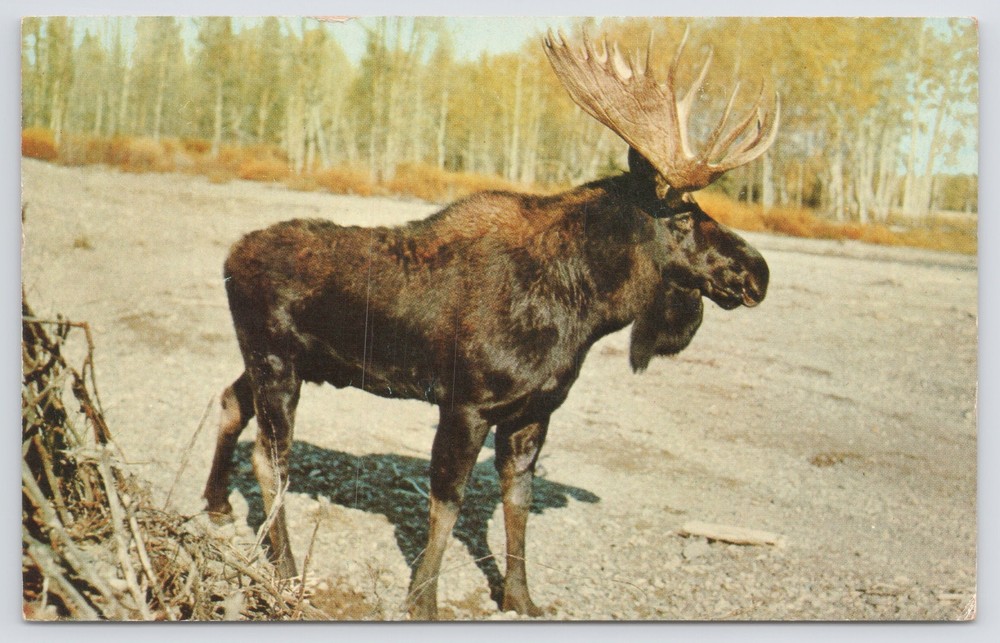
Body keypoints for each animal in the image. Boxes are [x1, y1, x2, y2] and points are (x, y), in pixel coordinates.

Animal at [202, 29, 778, 619]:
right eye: (684, 216)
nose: (759, 272)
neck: (583, 310)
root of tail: (230, 256)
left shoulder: (534, 411)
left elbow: (516, 503)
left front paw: (521, 597)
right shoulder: (466, 403)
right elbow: (448, 504)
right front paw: (423, 602)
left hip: (280, 361)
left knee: (230, 401)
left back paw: (218, 504)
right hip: (277, 361)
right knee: (270, 458)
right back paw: (286, 570)